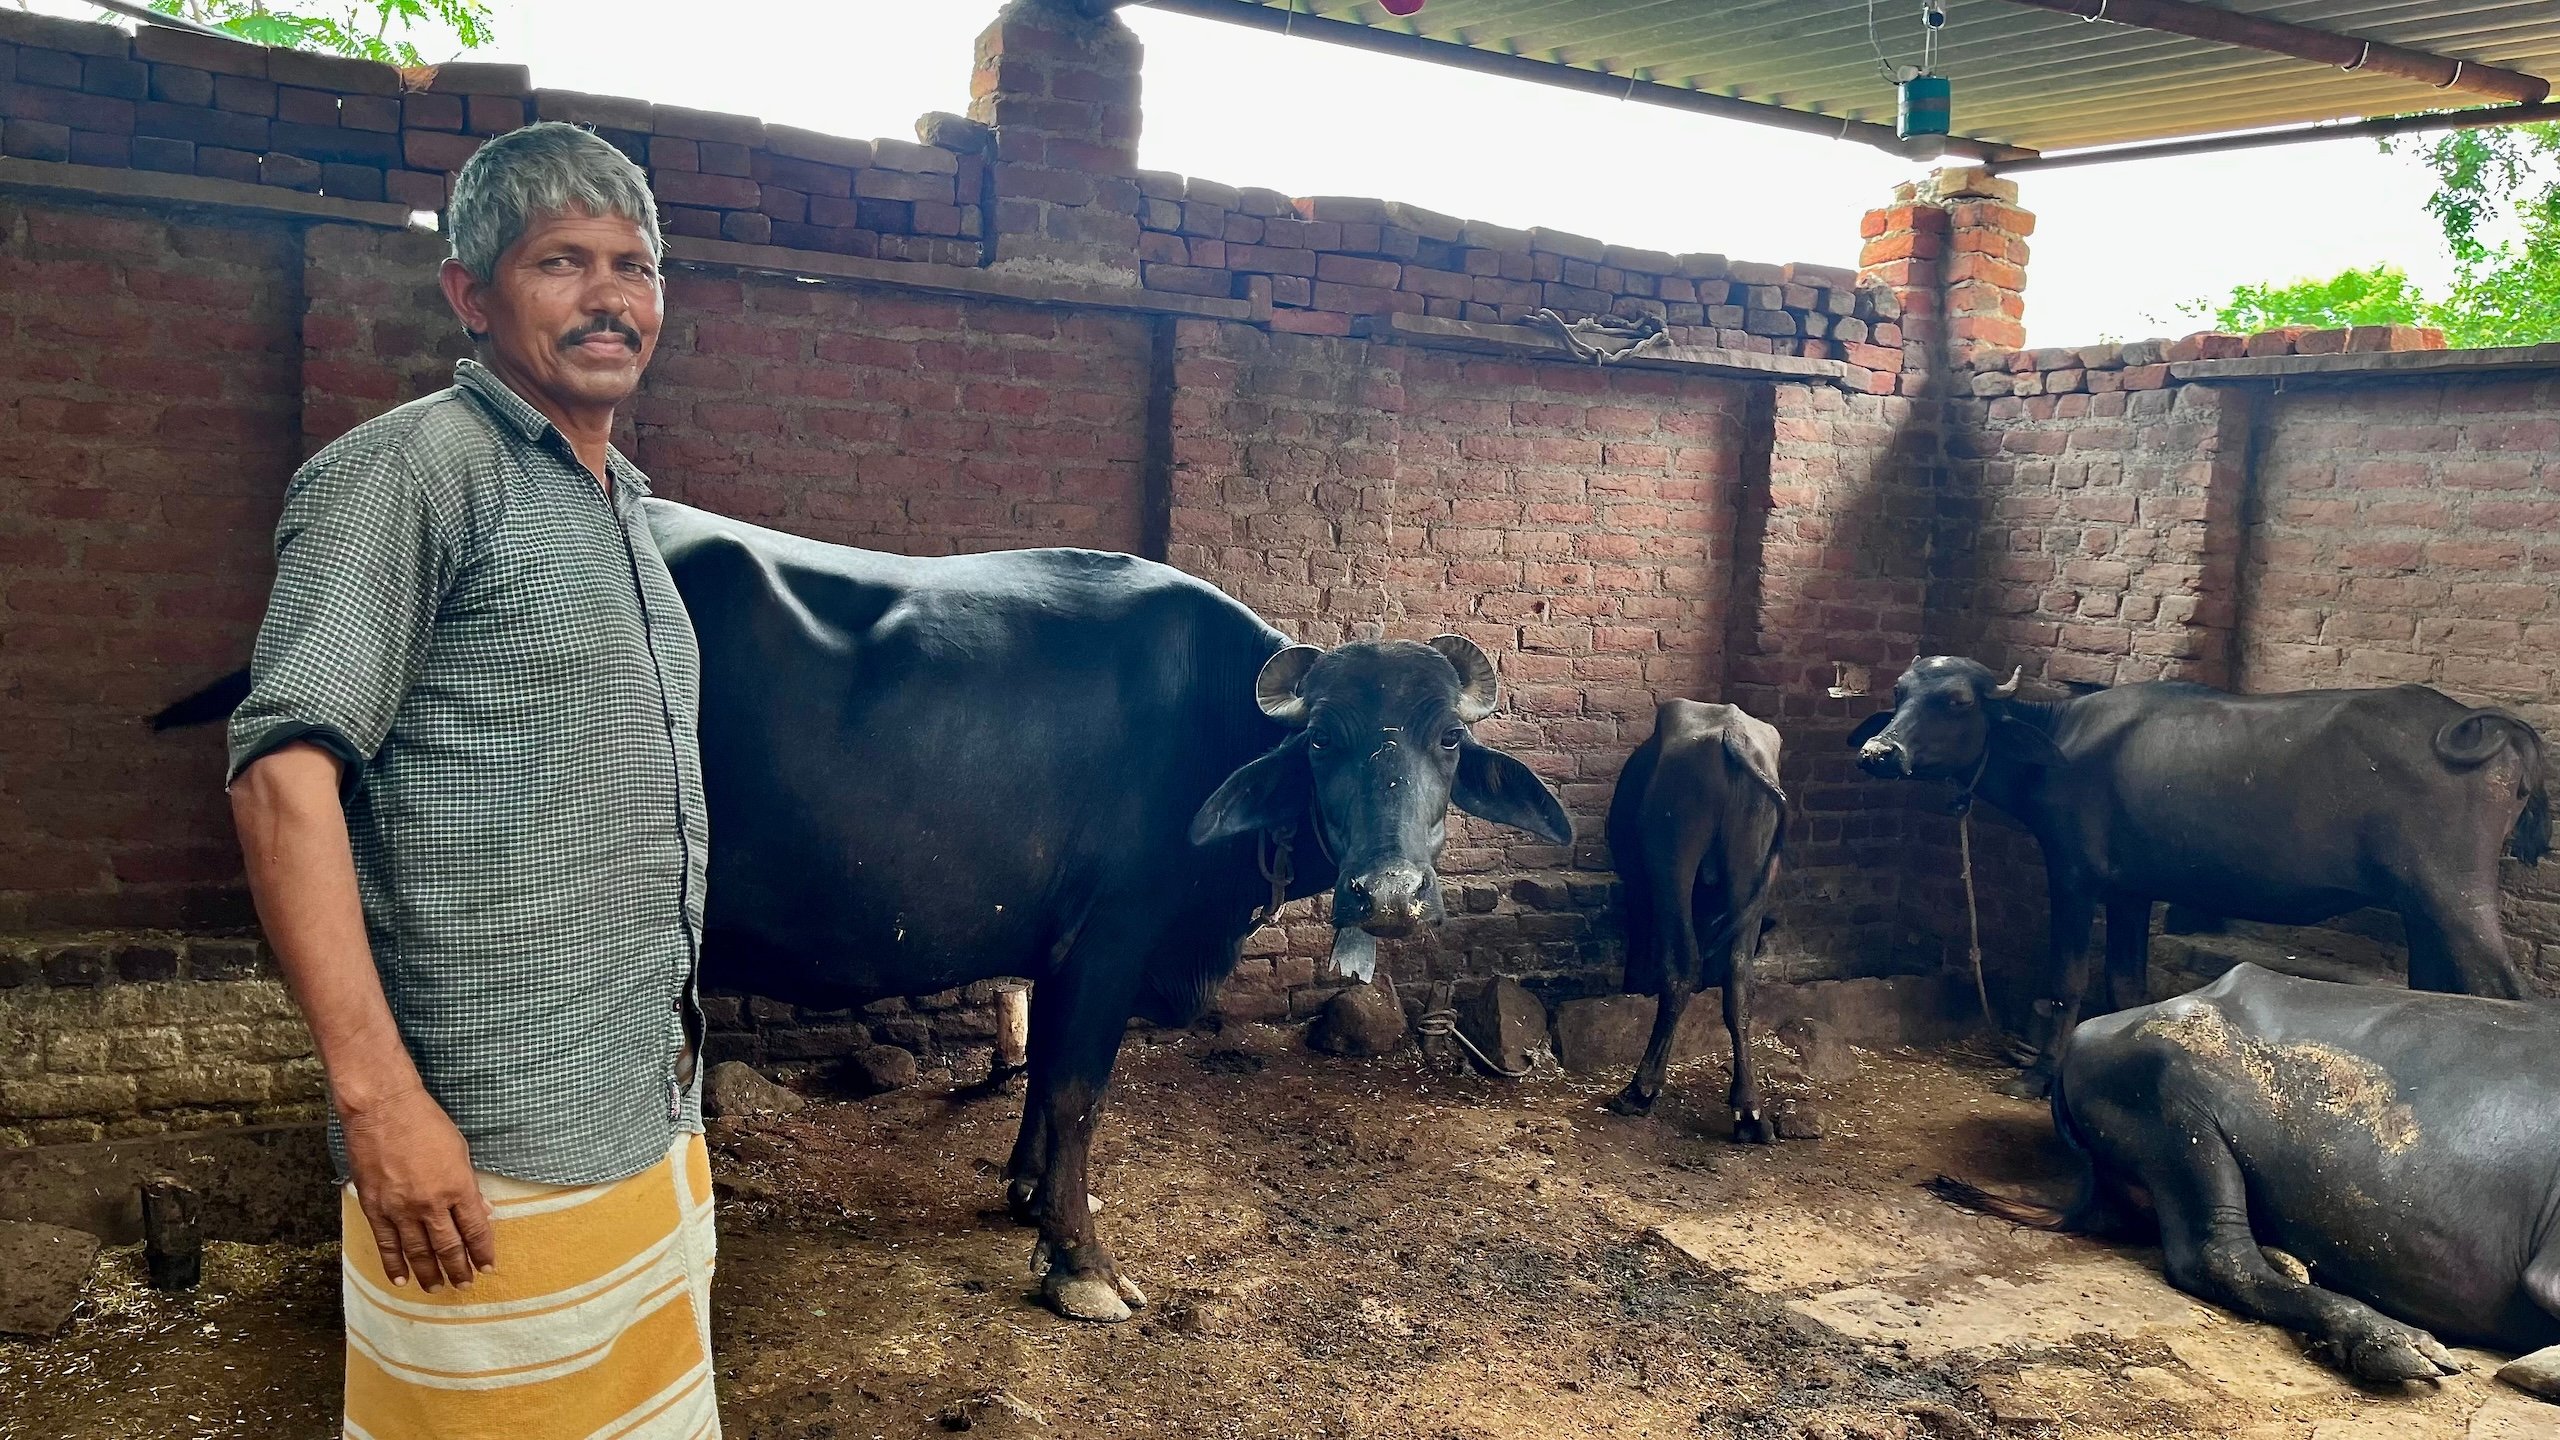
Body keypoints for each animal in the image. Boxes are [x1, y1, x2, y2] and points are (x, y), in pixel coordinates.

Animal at [1607, 702, 1792, 1137]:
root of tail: (1732, 733)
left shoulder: (1638, 885)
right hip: (1752, 866)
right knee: (1739, 979)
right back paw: (1749, 1109)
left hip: (1671, 860)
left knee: (1681, 966)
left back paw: (1640, 1089)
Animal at [1853, 655, 2549, 1091]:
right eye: (1898, 694)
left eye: (1954, 701)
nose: (1878, 752)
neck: (2063, 744)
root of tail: (2488, 728)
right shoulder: (2131, 891)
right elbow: (2126, 983)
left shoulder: (2074, 875)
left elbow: (2067, 979)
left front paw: (2037, 1075)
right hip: (2421, 907)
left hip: (2452, 893)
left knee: (2502, 993)